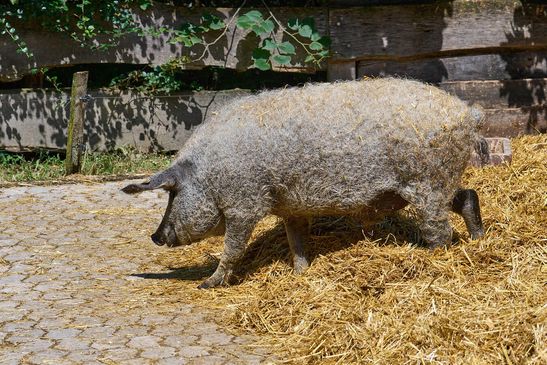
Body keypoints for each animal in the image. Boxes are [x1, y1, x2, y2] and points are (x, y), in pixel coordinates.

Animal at [122, 77, 486, 288]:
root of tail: (468, 113)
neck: (210, 174)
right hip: (435, 184)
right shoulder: (290, 207)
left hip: (427, 183)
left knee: (441, 231)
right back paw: (479, 240)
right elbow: (296, 240)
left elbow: (233, 249)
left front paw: (208, 284)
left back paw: (435, 258)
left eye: (172, 192)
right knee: (468, 195)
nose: (155, 236)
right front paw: (299, 273)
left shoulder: (244, 205)